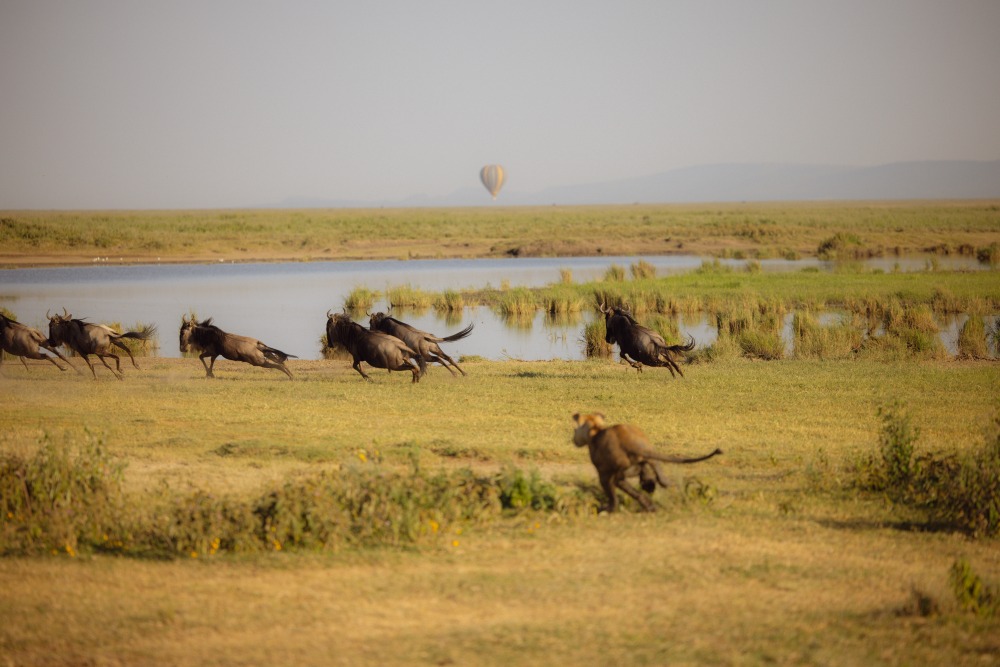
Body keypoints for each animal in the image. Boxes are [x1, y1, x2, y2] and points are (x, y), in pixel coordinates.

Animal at [572, 412, 723, 512]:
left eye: (575, 430)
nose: (574, 439)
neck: (596, 430)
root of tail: (630, 443)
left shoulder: (604, 471)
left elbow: (613, 491)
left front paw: (609, 508)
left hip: (617, 470)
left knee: (621, 482)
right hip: (645, 451)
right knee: (654, 469)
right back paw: (656, 487)